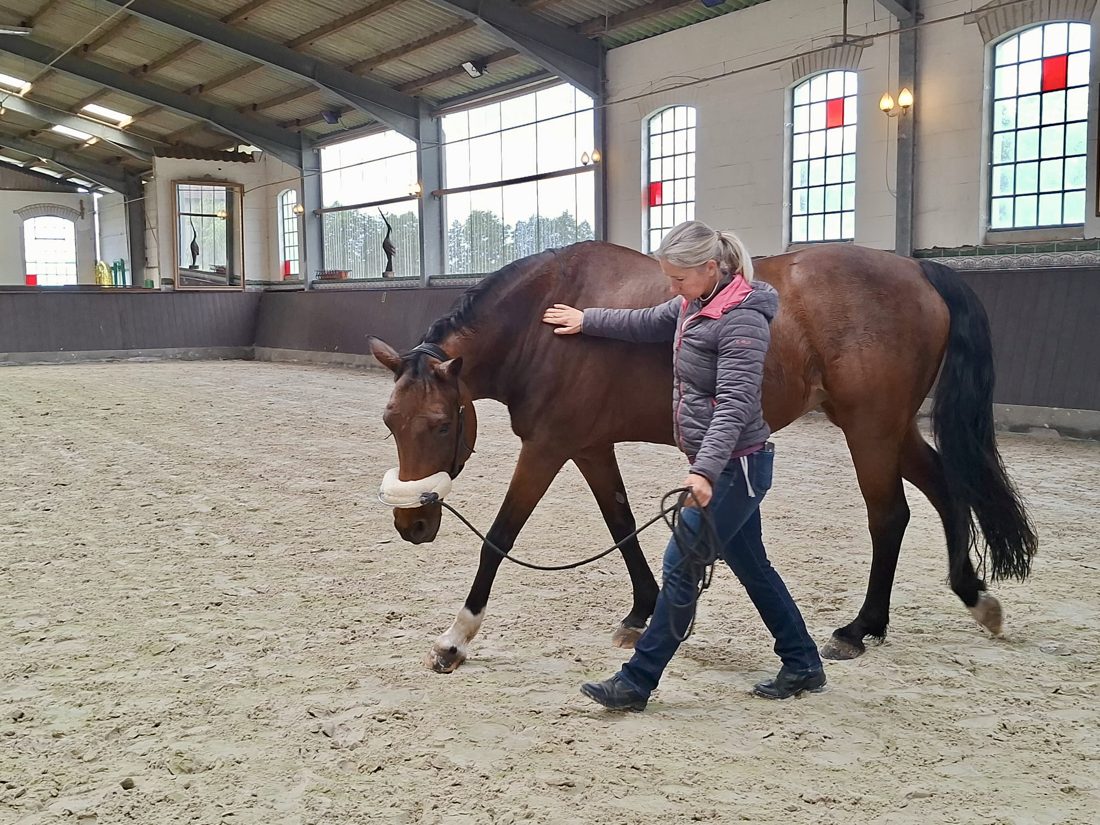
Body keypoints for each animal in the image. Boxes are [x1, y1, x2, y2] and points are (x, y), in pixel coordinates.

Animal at [369, 241, 1037, 673]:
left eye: (440, 424)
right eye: (389, 422)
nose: (411, 523)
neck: (544, 324)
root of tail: (918, 269)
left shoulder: (547, 448)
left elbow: (499, 539)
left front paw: (456, 638)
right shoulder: (588, 446)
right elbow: (620, 522)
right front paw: (643, 611)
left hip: (871, 430)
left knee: (890, 515)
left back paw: (860, 627)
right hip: (888, 430)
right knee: (945, 489)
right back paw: (973, 599)